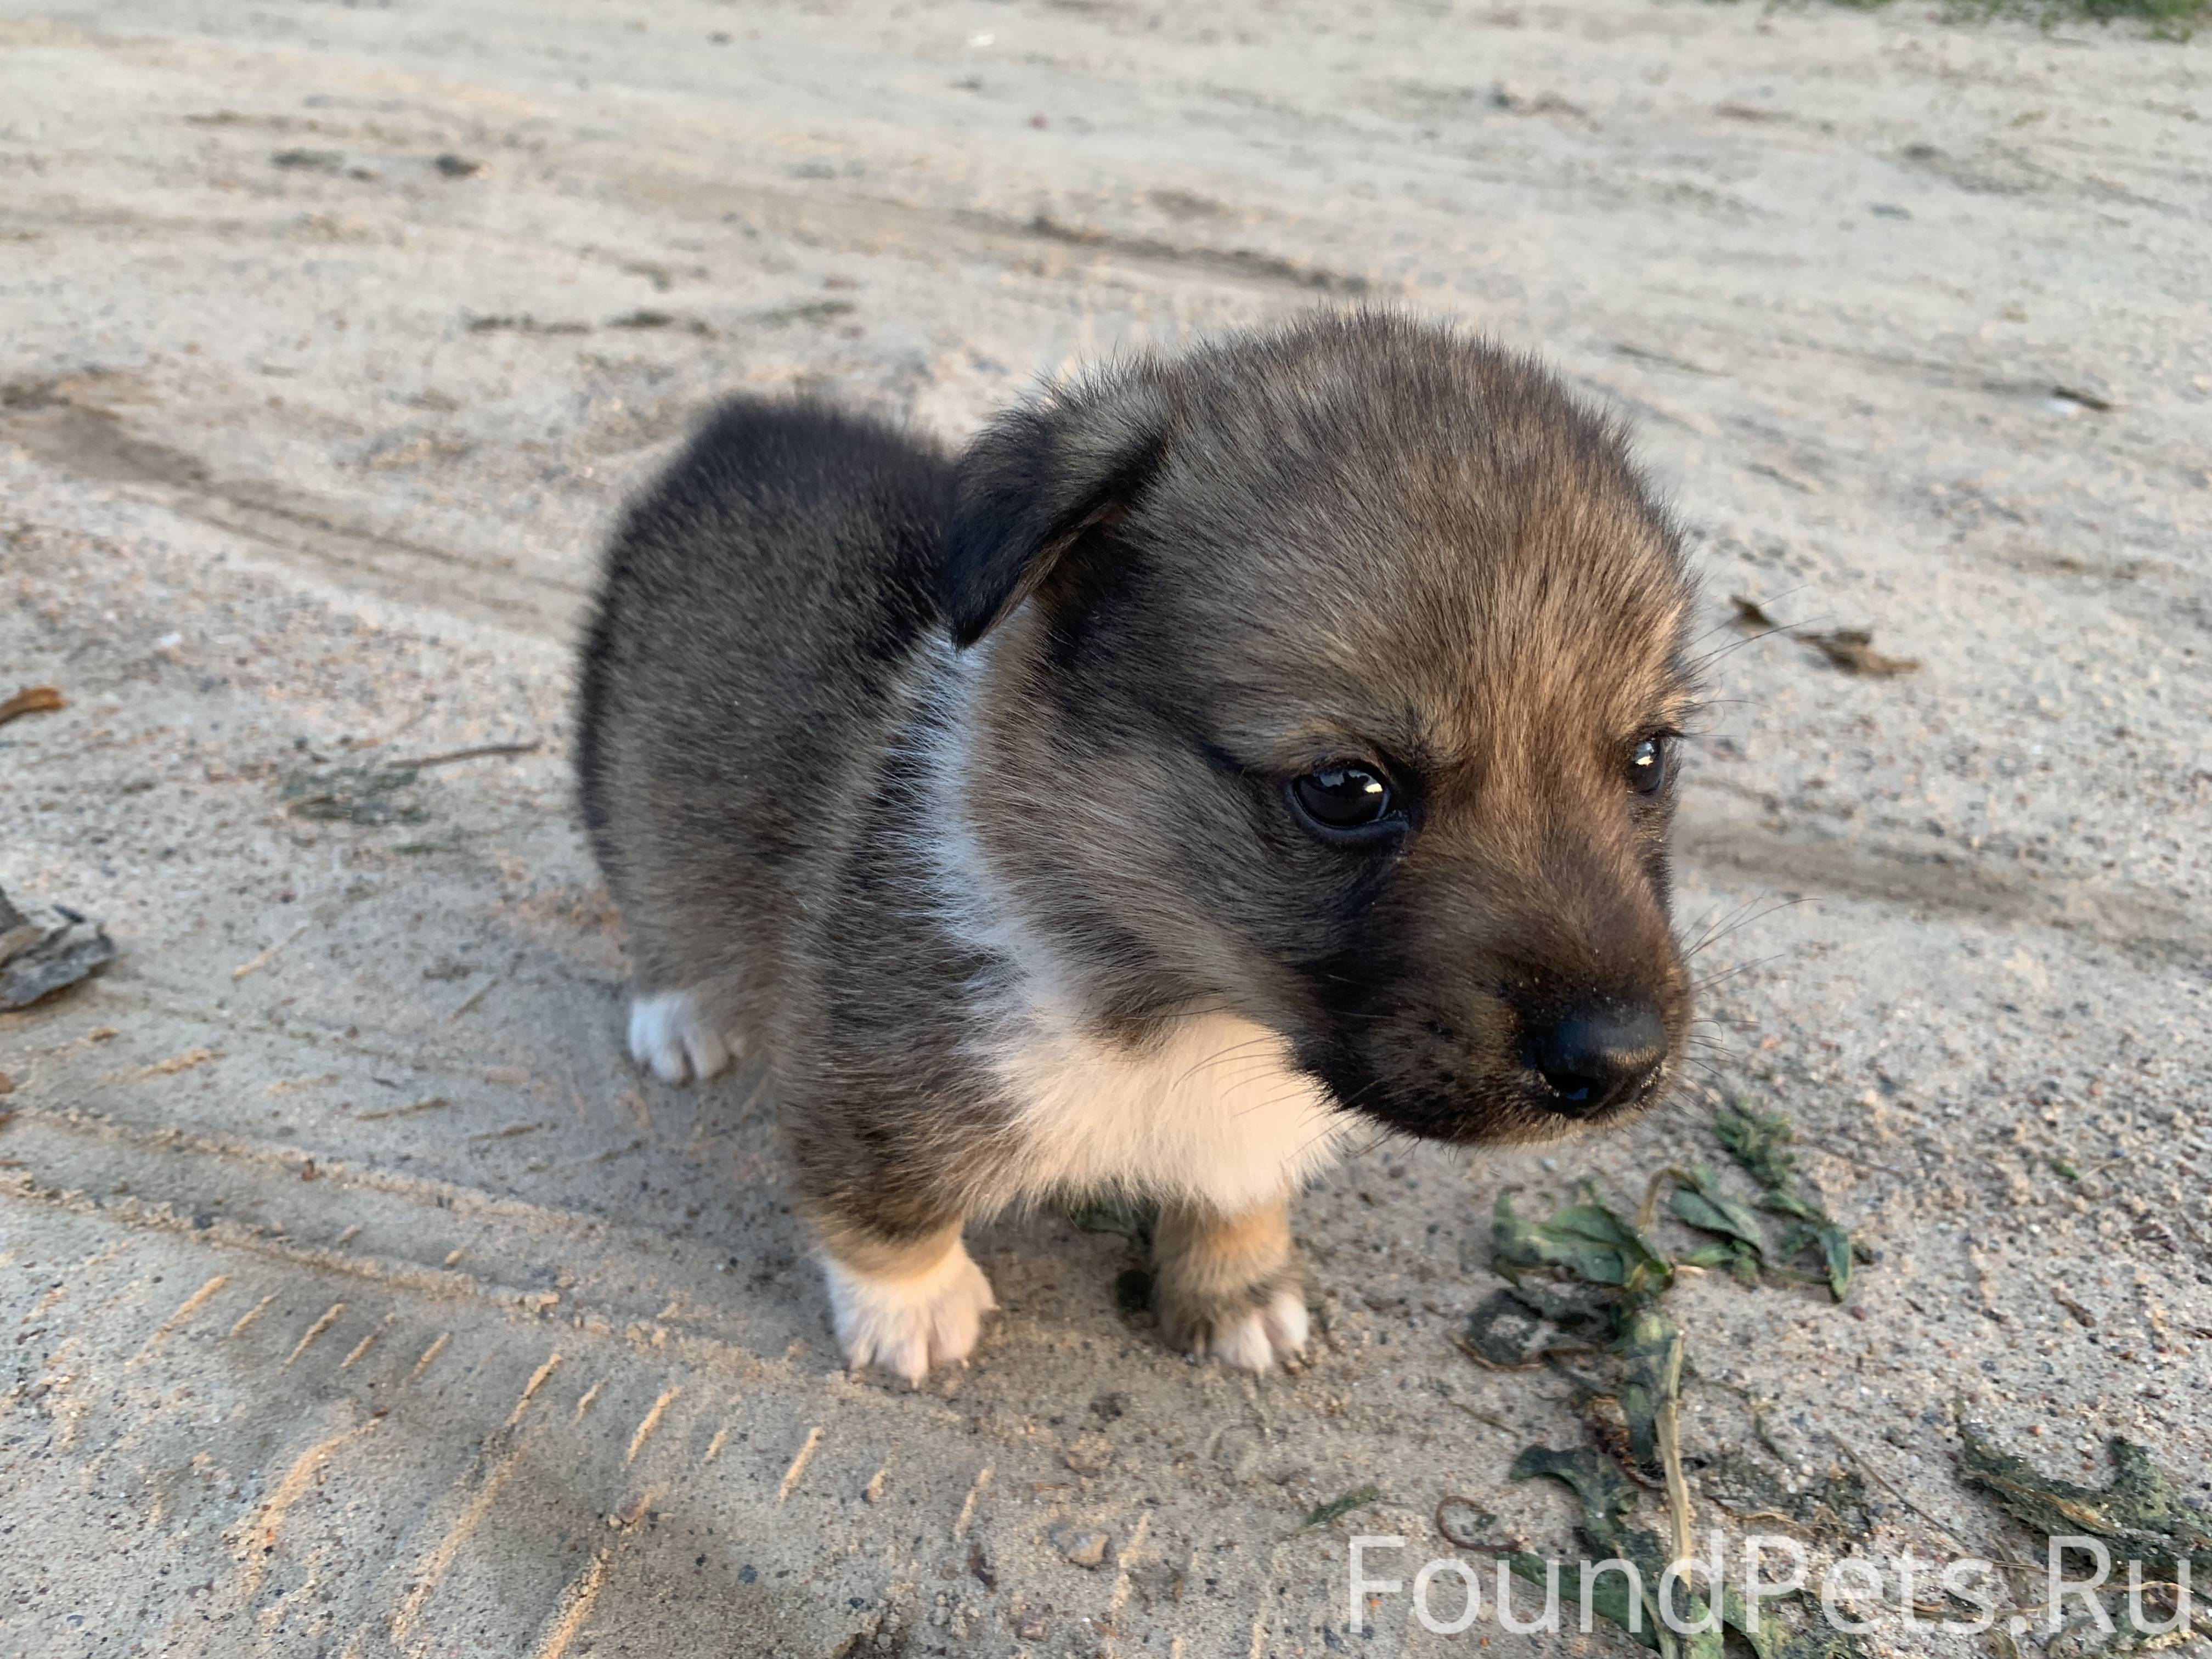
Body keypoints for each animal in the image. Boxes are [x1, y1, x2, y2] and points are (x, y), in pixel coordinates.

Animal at [579, 312, 1699, 1389]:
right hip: (629, 781)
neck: (1186, 1003)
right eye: (1347, 788)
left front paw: (1238, 1288)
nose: (1621, 1062)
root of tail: (741, 427)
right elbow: (885, 1203)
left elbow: (1237, 1195)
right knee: (654, 888)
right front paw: (912, 1310)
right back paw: (681, 1014)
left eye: (1649, 757)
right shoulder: (874, 1075)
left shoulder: (1245, 1130)